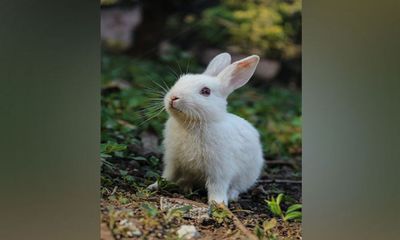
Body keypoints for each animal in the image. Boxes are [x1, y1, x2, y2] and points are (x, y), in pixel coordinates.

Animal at [148, 52, 264, 204]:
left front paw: (218, 203)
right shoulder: (173, 161)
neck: (193, 123)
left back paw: (231, 196)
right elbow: (168, 175)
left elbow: (217, 186)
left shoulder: (219, 169)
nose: (173, 97)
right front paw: (154, 186)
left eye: (205, 91)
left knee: (237, 187)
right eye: (180, 80)